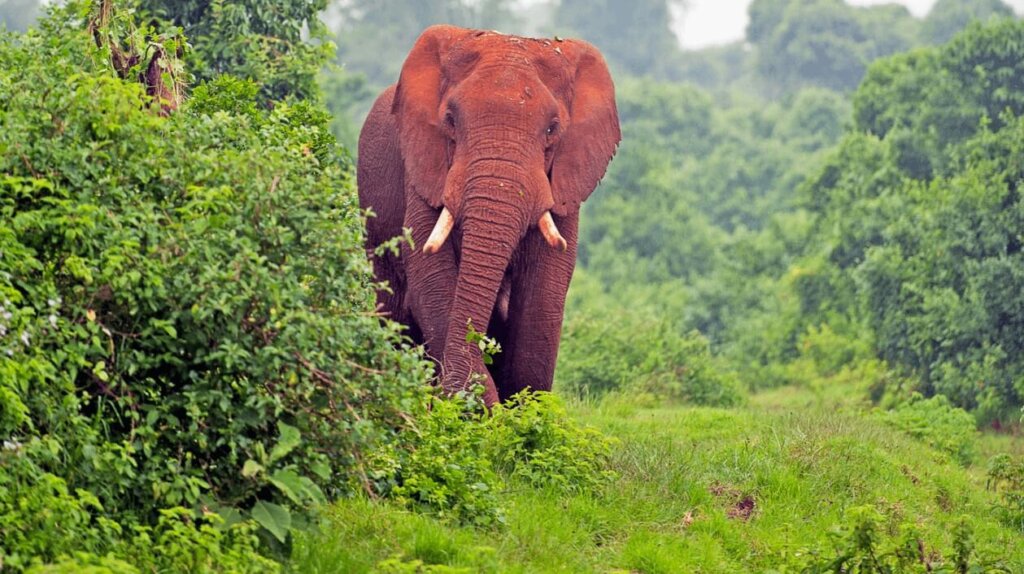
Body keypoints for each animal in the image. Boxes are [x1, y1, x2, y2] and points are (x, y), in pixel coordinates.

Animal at [358, 25, 620, 406]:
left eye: (552, 129)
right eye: (450, 120)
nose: (455, 394)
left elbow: (547, 282)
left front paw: (528, 413)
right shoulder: (423, 169)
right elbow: (428, 270)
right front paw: (474, 406)